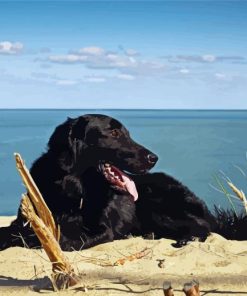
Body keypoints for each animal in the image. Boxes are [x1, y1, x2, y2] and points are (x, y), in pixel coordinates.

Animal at [0, 114, 245, 251]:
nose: (154, 158)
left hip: (158, 205)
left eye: (127, 132)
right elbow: (13, 231)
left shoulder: (103, 230)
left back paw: (186, 238)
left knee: (205, 226)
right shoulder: (23, 221)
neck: (74, 190)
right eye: (115, 132)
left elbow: (65, 242)